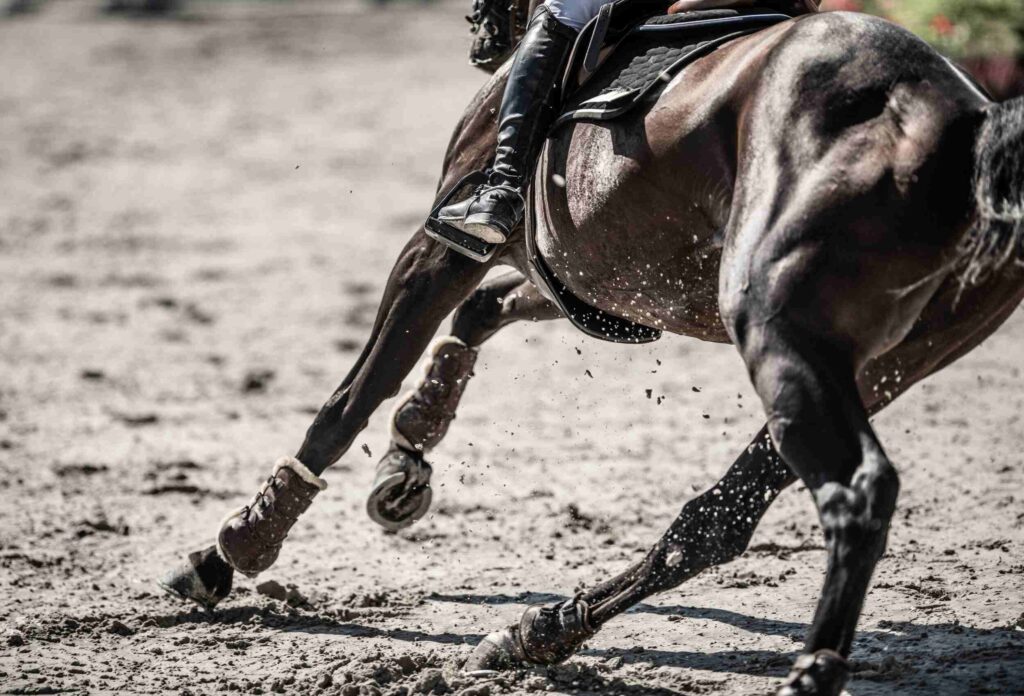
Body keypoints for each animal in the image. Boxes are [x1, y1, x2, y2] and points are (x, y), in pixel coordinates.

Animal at [161, 2, 1024, 691]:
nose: (480, 34)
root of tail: (965, 119)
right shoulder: (592, 275)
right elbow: (480, 314)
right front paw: (410, 450)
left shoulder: (446, 242)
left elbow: (352, 397)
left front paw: (236, 546)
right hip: (883, 366)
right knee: (715, 522)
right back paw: (541, 631)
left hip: (779, 330)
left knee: (855, 493)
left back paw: (805, 672)